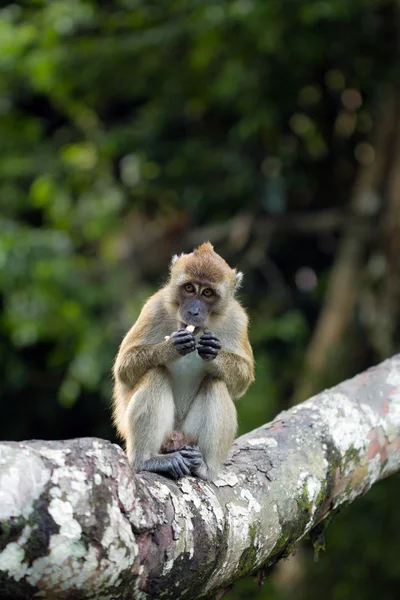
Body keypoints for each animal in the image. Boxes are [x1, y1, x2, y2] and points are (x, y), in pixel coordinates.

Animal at [112, 241, 255, 480]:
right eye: (189, 288)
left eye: (207, 293)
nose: (194, 311)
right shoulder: (154, 307)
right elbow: (124, 367)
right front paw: (169, 348)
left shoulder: (237, 320)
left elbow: (242, 379)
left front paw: (213, 353)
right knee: (156, 373)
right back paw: (146, 460)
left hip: (189, 435)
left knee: (216, 382)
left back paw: (205, 467)